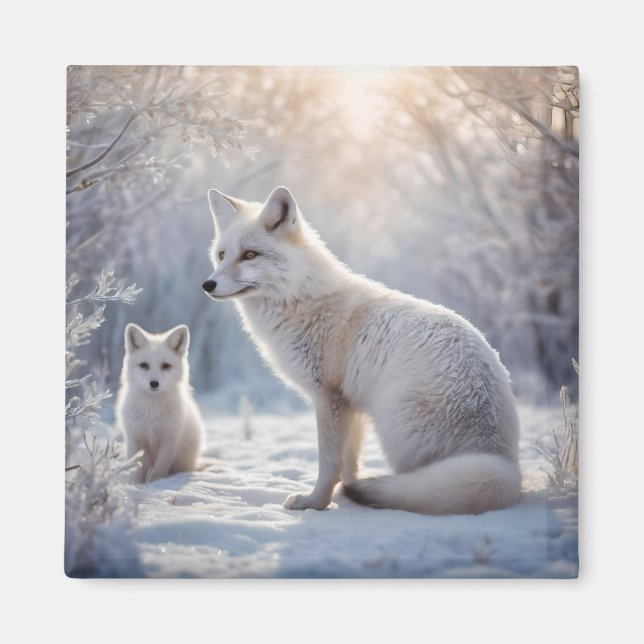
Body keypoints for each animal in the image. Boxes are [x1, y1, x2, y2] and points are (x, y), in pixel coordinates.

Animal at [115, 323, 204, 483]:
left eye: (165, 366)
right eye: (144, 365)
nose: (154, 383)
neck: (152, 411)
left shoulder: (169, 439)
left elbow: (160, 468)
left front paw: (155, 483)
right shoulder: (134, 437)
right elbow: (136, 466)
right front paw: (134, 484)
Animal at [202, 186, 521, 515]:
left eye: (250, 254)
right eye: (222, 255)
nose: (207, 284)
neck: (301, 299)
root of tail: (498, 459)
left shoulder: (329, 398)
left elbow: (329, 462)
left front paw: (315, 503)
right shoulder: (350, 405)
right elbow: (349, 463)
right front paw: (346, 495)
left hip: (395, 430)